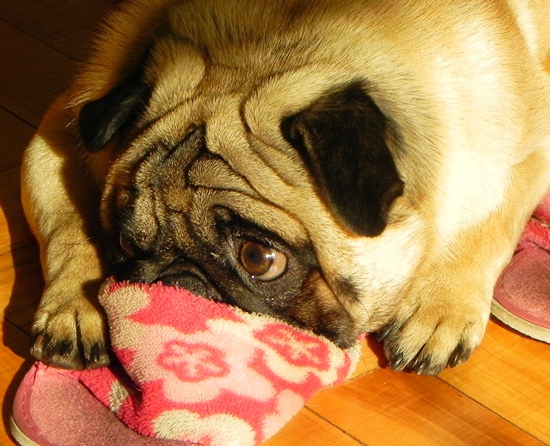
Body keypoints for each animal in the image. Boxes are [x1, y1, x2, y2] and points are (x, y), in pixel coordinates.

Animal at [21, 0, 550, 375]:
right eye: (127, 243)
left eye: (260, 258)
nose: (178, 282)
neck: (275, 47)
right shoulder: (57, 136)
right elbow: (68, 228)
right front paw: (76, 304)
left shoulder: (525, 149)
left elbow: (489, 223)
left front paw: (441, 307)